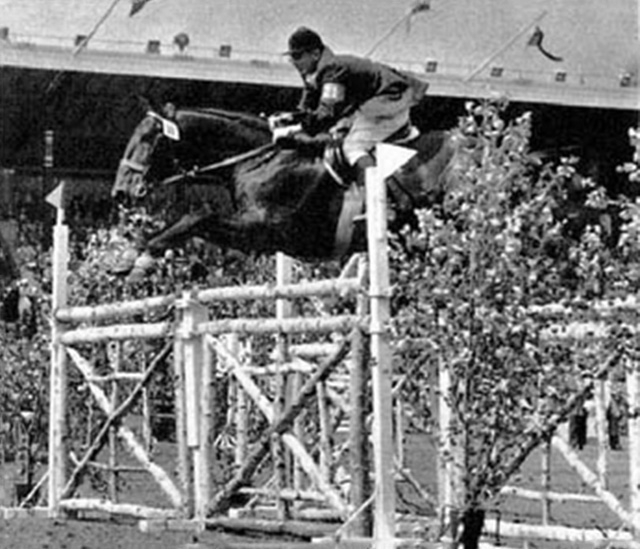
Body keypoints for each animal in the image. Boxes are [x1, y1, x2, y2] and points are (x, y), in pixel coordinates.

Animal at [111, 105, 460, 268]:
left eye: (146, 139)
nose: (120, 192)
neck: (259, 158)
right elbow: (197, 223)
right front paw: (131, 254)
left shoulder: (266, 230)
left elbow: (198, 215)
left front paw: (136, 260)